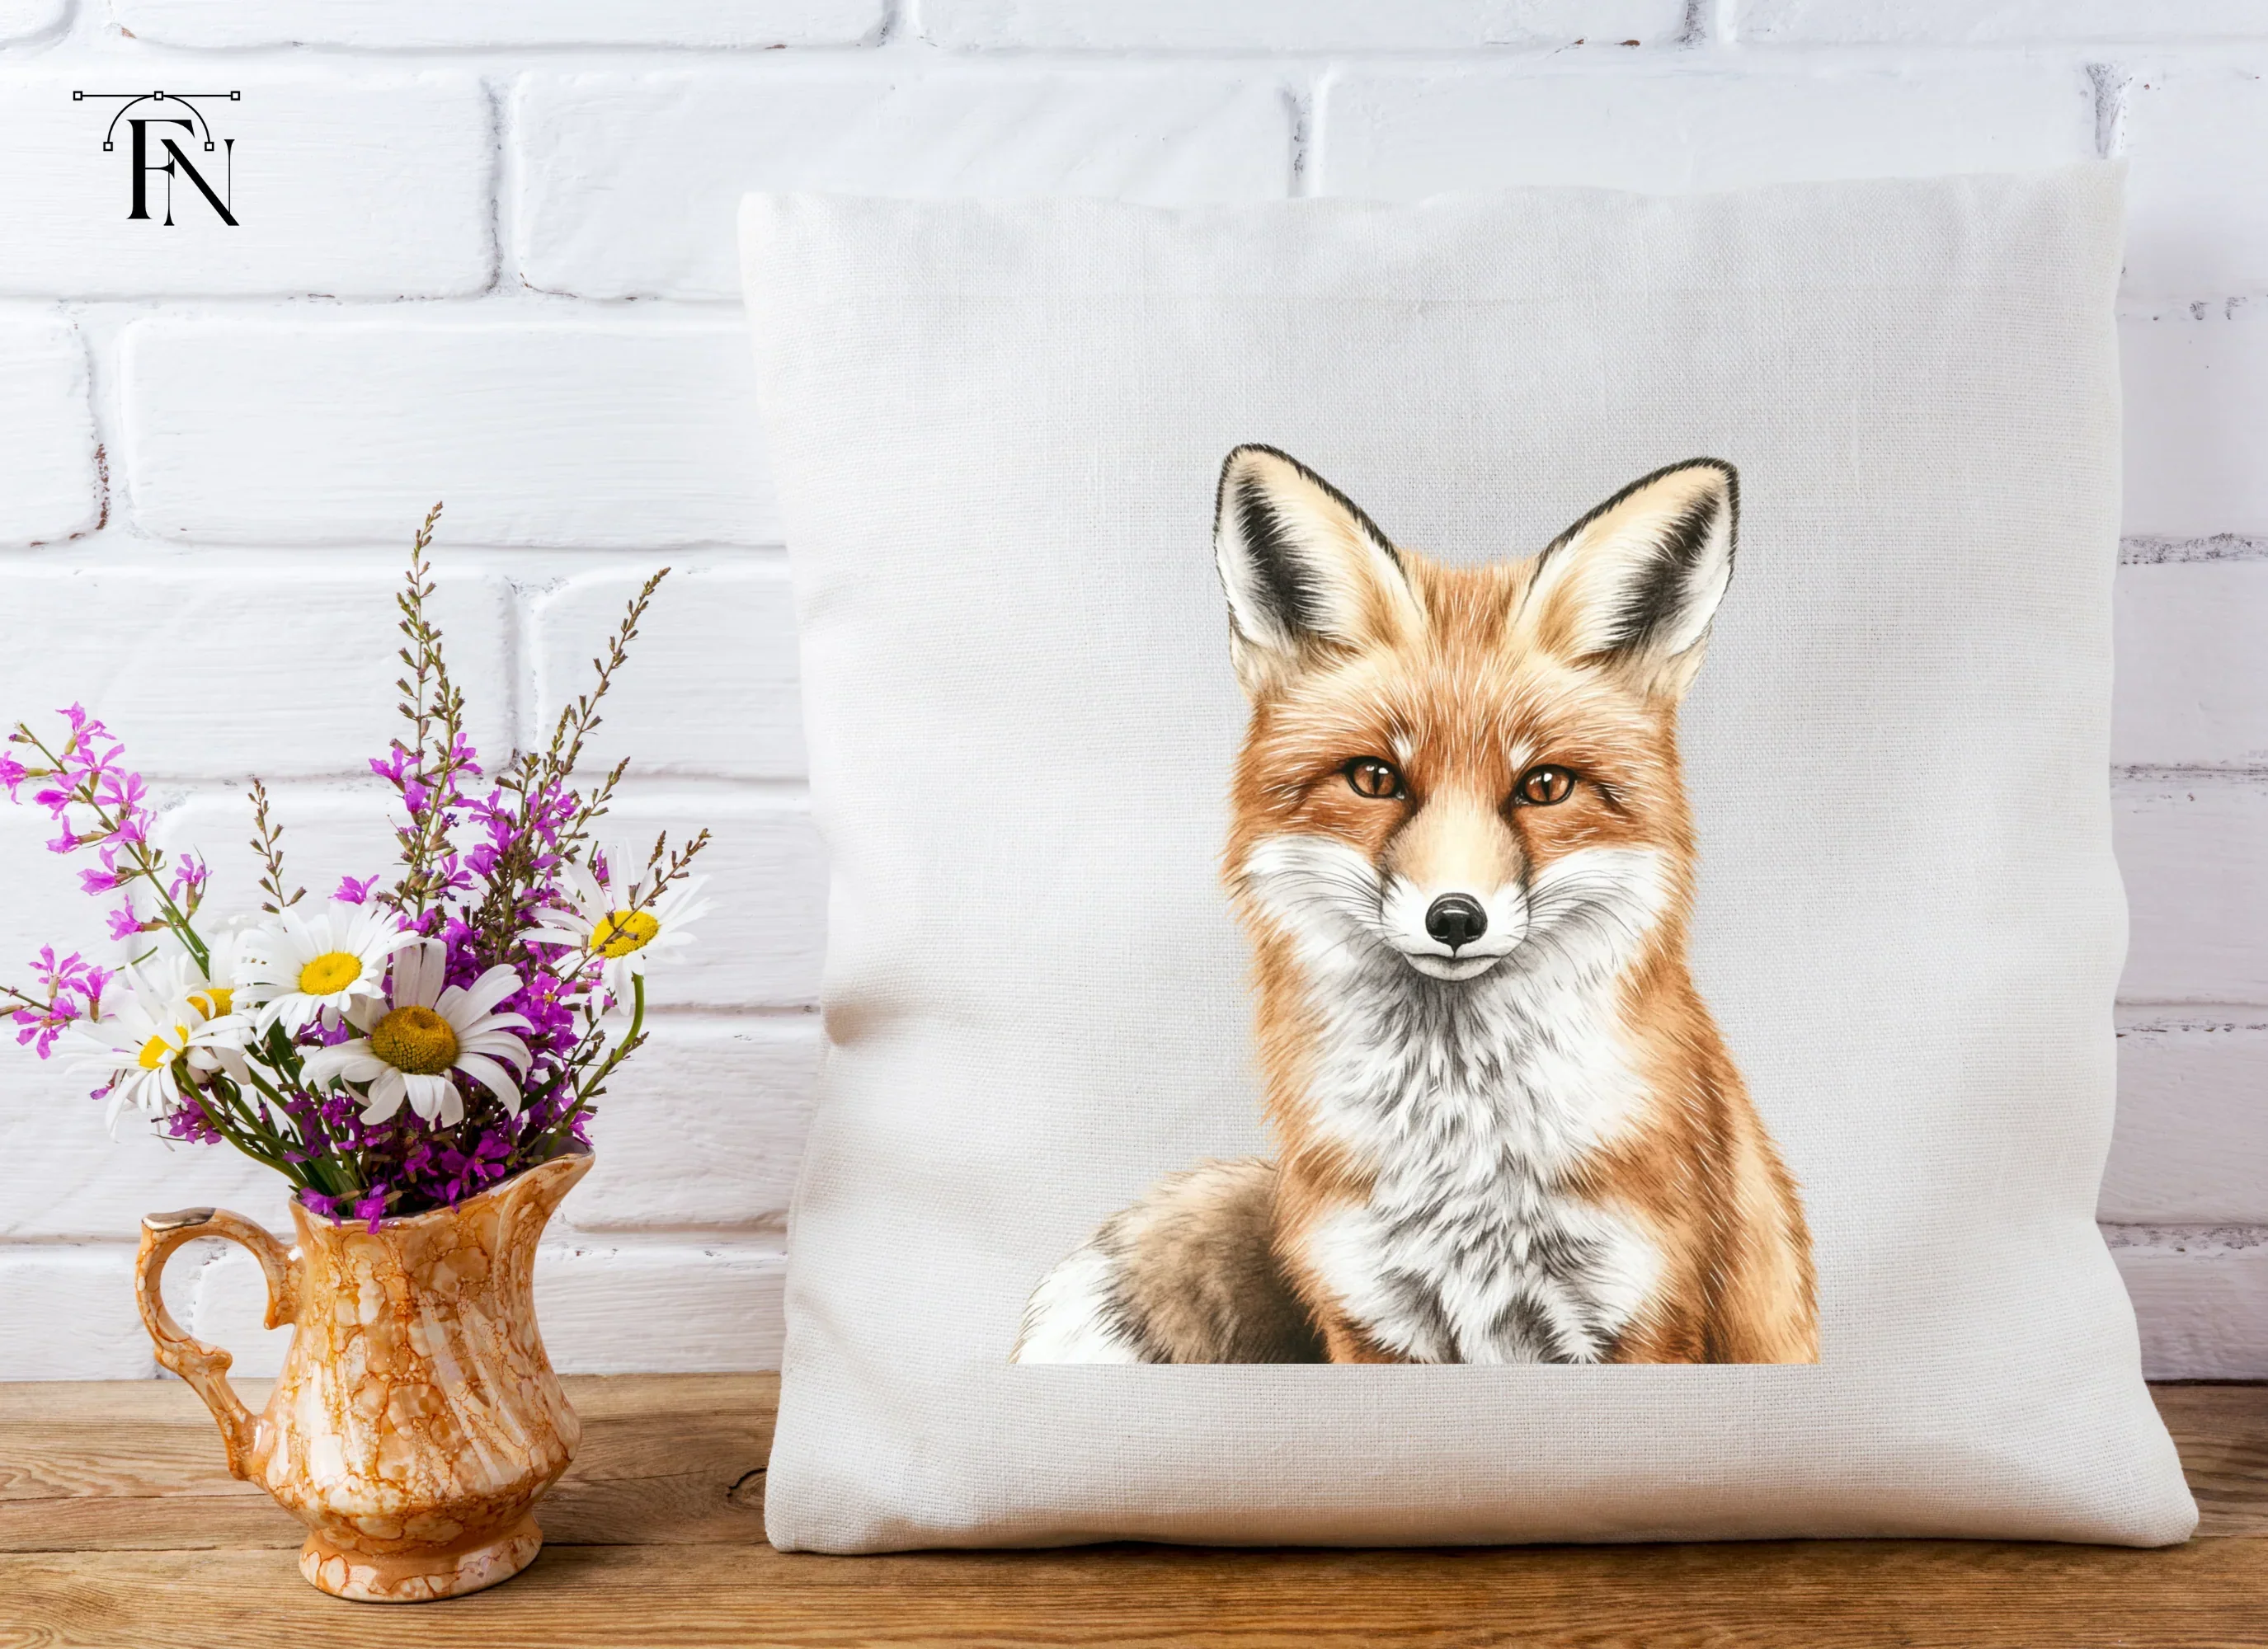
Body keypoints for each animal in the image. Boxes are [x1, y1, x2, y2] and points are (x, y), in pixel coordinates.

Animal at [1013, 447, 1817, 1366]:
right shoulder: (1371, 1318)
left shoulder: (1644, 1317)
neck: (1462, 1158)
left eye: (1545, 785)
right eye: (1374, 777)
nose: (1455, 918)